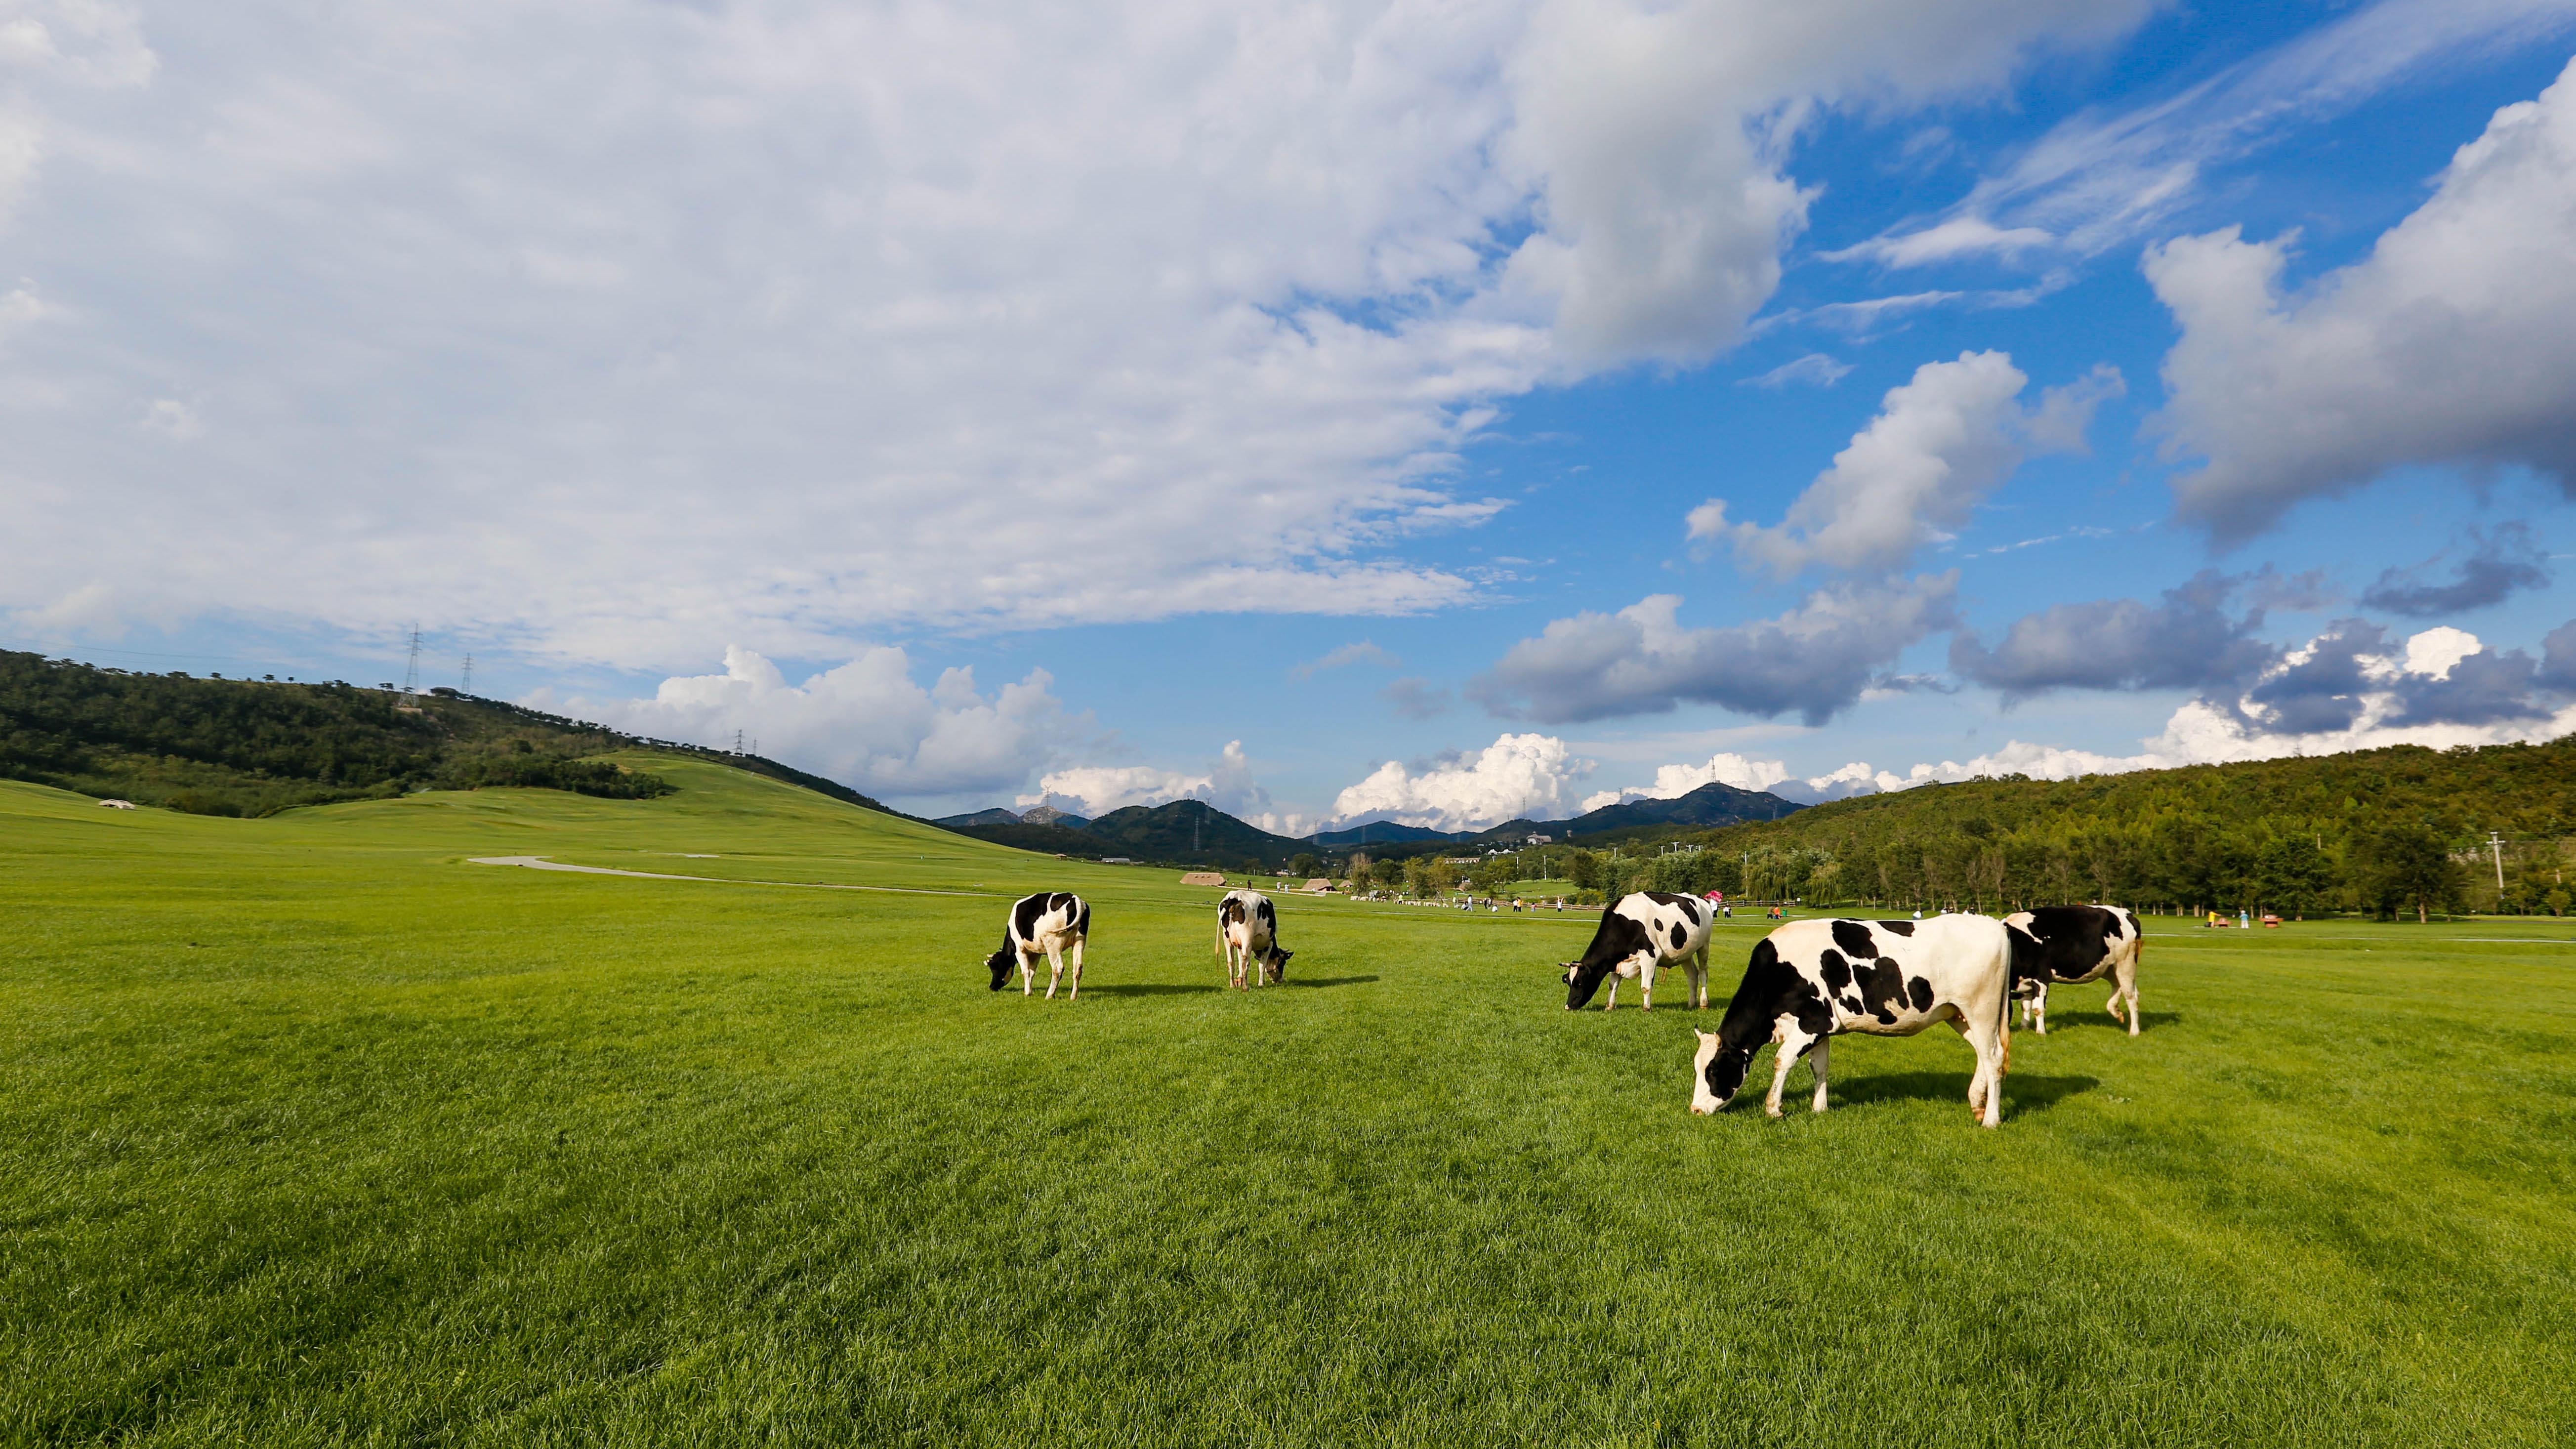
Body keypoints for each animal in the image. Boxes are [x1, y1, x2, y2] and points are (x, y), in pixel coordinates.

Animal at [979, 890, 1092, 1003]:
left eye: (994, 967)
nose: (992, 986)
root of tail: (1074, 898)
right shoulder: (1036, 953)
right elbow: (1032, 972)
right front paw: (1030, 990)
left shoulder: (1019, 949)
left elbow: (1025, 971)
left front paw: (1027, 993)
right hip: (1079, 940)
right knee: (1078, 968)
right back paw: (1073, 997)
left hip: (1053, 944)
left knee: (1057, 968)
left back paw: (1050, 995)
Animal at [1205, 890, 1288, 993]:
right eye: (1282, 964)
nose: (1281, 980)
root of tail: (1235, 897)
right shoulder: (1269, 944)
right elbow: (1262, 965)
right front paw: (1261, 983)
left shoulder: (1239, 946)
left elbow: (1240, 963)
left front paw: (1239, 980)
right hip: (1247, 937)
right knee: (1246, 962)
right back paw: (1246, 987)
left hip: (1227, 938)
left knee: (1231, 961)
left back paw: (1233, 985)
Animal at [1556, 890, 1720, 1014]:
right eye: (1568, 982)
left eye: (1580, 983)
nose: (1568, 1006)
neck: (1625, 924)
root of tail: (1701, 899)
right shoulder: (1616, 962)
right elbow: (1613, 985)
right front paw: (1609, 1007)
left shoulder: (1650, 957)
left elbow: (1646, 987)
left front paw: (1646, 1008)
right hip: (1685, 954)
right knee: (1693, 976)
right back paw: (1691, 1004)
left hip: (1704, 946)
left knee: (1704, 973)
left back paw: (1704, 1003)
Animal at [1679, 916, 2019, 1132]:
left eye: (1713, 1071)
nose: (1695, 1110)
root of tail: (1994, 924)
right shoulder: (1822, 1027)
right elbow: (1819, 1067)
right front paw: (1820, 1107)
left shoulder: (1813, 1021)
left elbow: (1782, 1060)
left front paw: (1774, 1108)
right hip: (1959, 1014)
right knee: (1984, 1055)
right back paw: (1976, 1103)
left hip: (1982, 1009)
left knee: (1993, 1058)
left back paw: (1991, 1120)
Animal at [1999, 906, 2143, 1029]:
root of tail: (2128, 914)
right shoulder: (2026, 981)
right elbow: (2026, 1006)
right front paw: (2025, 1028)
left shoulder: (2041, 977)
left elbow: (2038, 1008)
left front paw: (2041, 1032)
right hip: (2109, 968)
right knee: (2118, 985)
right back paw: (2116, 1011)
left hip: (2126, 963)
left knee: (2131, 996)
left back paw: (2134, 1032)